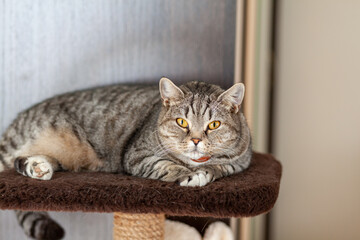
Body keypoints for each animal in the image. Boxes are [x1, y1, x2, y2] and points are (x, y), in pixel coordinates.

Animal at [0, 78, 252, 239]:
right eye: (182, 122)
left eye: (214, 125)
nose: (197, 140)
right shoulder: (138, 156)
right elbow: (166, 165)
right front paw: (190, 175)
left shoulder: (240, 161)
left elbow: (222, 166)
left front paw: (207, 171)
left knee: (22, 162)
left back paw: (38, 167)